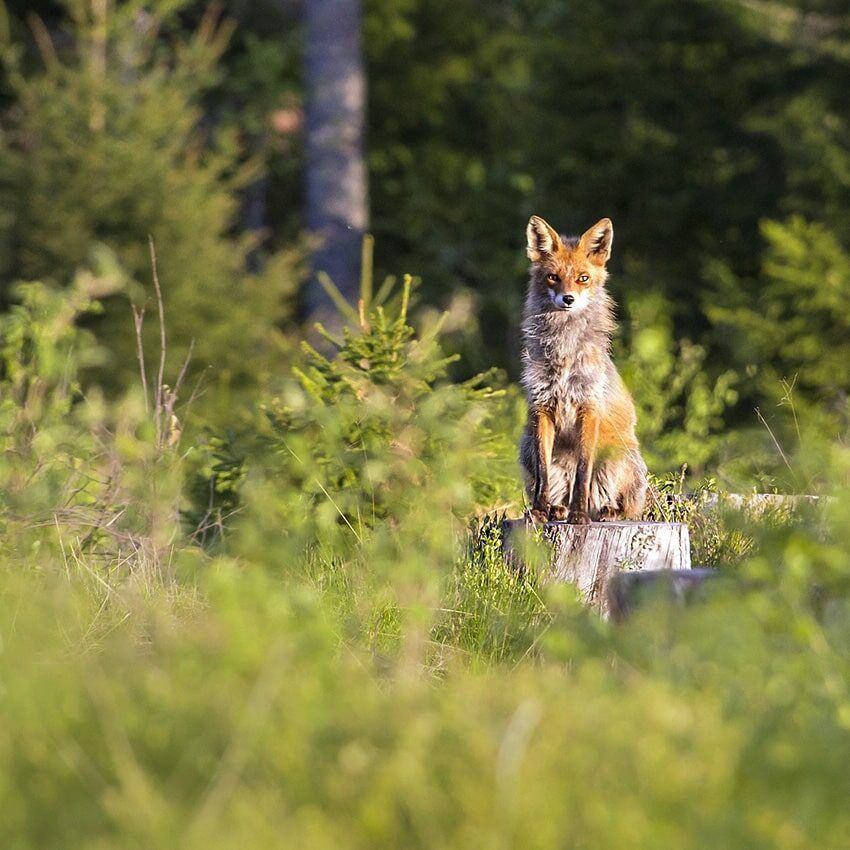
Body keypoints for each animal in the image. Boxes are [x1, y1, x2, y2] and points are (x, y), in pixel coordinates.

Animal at [519, 215, 648, 524]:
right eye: (553, 277)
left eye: (583, 278)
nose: (568, 299)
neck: (564, 353)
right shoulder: (542, 407)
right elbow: (543, 474)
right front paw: (539, 511)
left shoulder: (588, 408)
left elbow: (583, 472)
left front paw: (579, 516)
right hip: (526, 446)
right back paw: (557, 509)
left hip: (618, 456)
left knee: (625, 506)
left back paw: (606, 511)